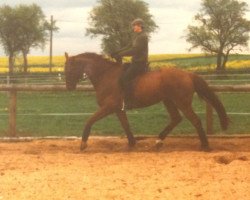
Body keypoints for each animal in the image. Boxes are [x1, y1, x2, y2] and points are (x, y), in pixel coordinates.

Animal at [64, 52, 229, 151]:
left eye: (70, 69)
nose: (69, 87)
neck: (106, 75)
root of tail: (188, 74)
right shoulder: (118, 109)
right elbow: (126, 125)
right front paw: (132, 143)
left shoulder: (109, 107)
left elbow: (90, 120)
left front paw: (83, 143)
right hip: (168, 101)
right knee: (176, 118)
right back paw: (159, 141)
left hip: (182, 102)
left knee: (195, 120)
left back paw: (205, 145)